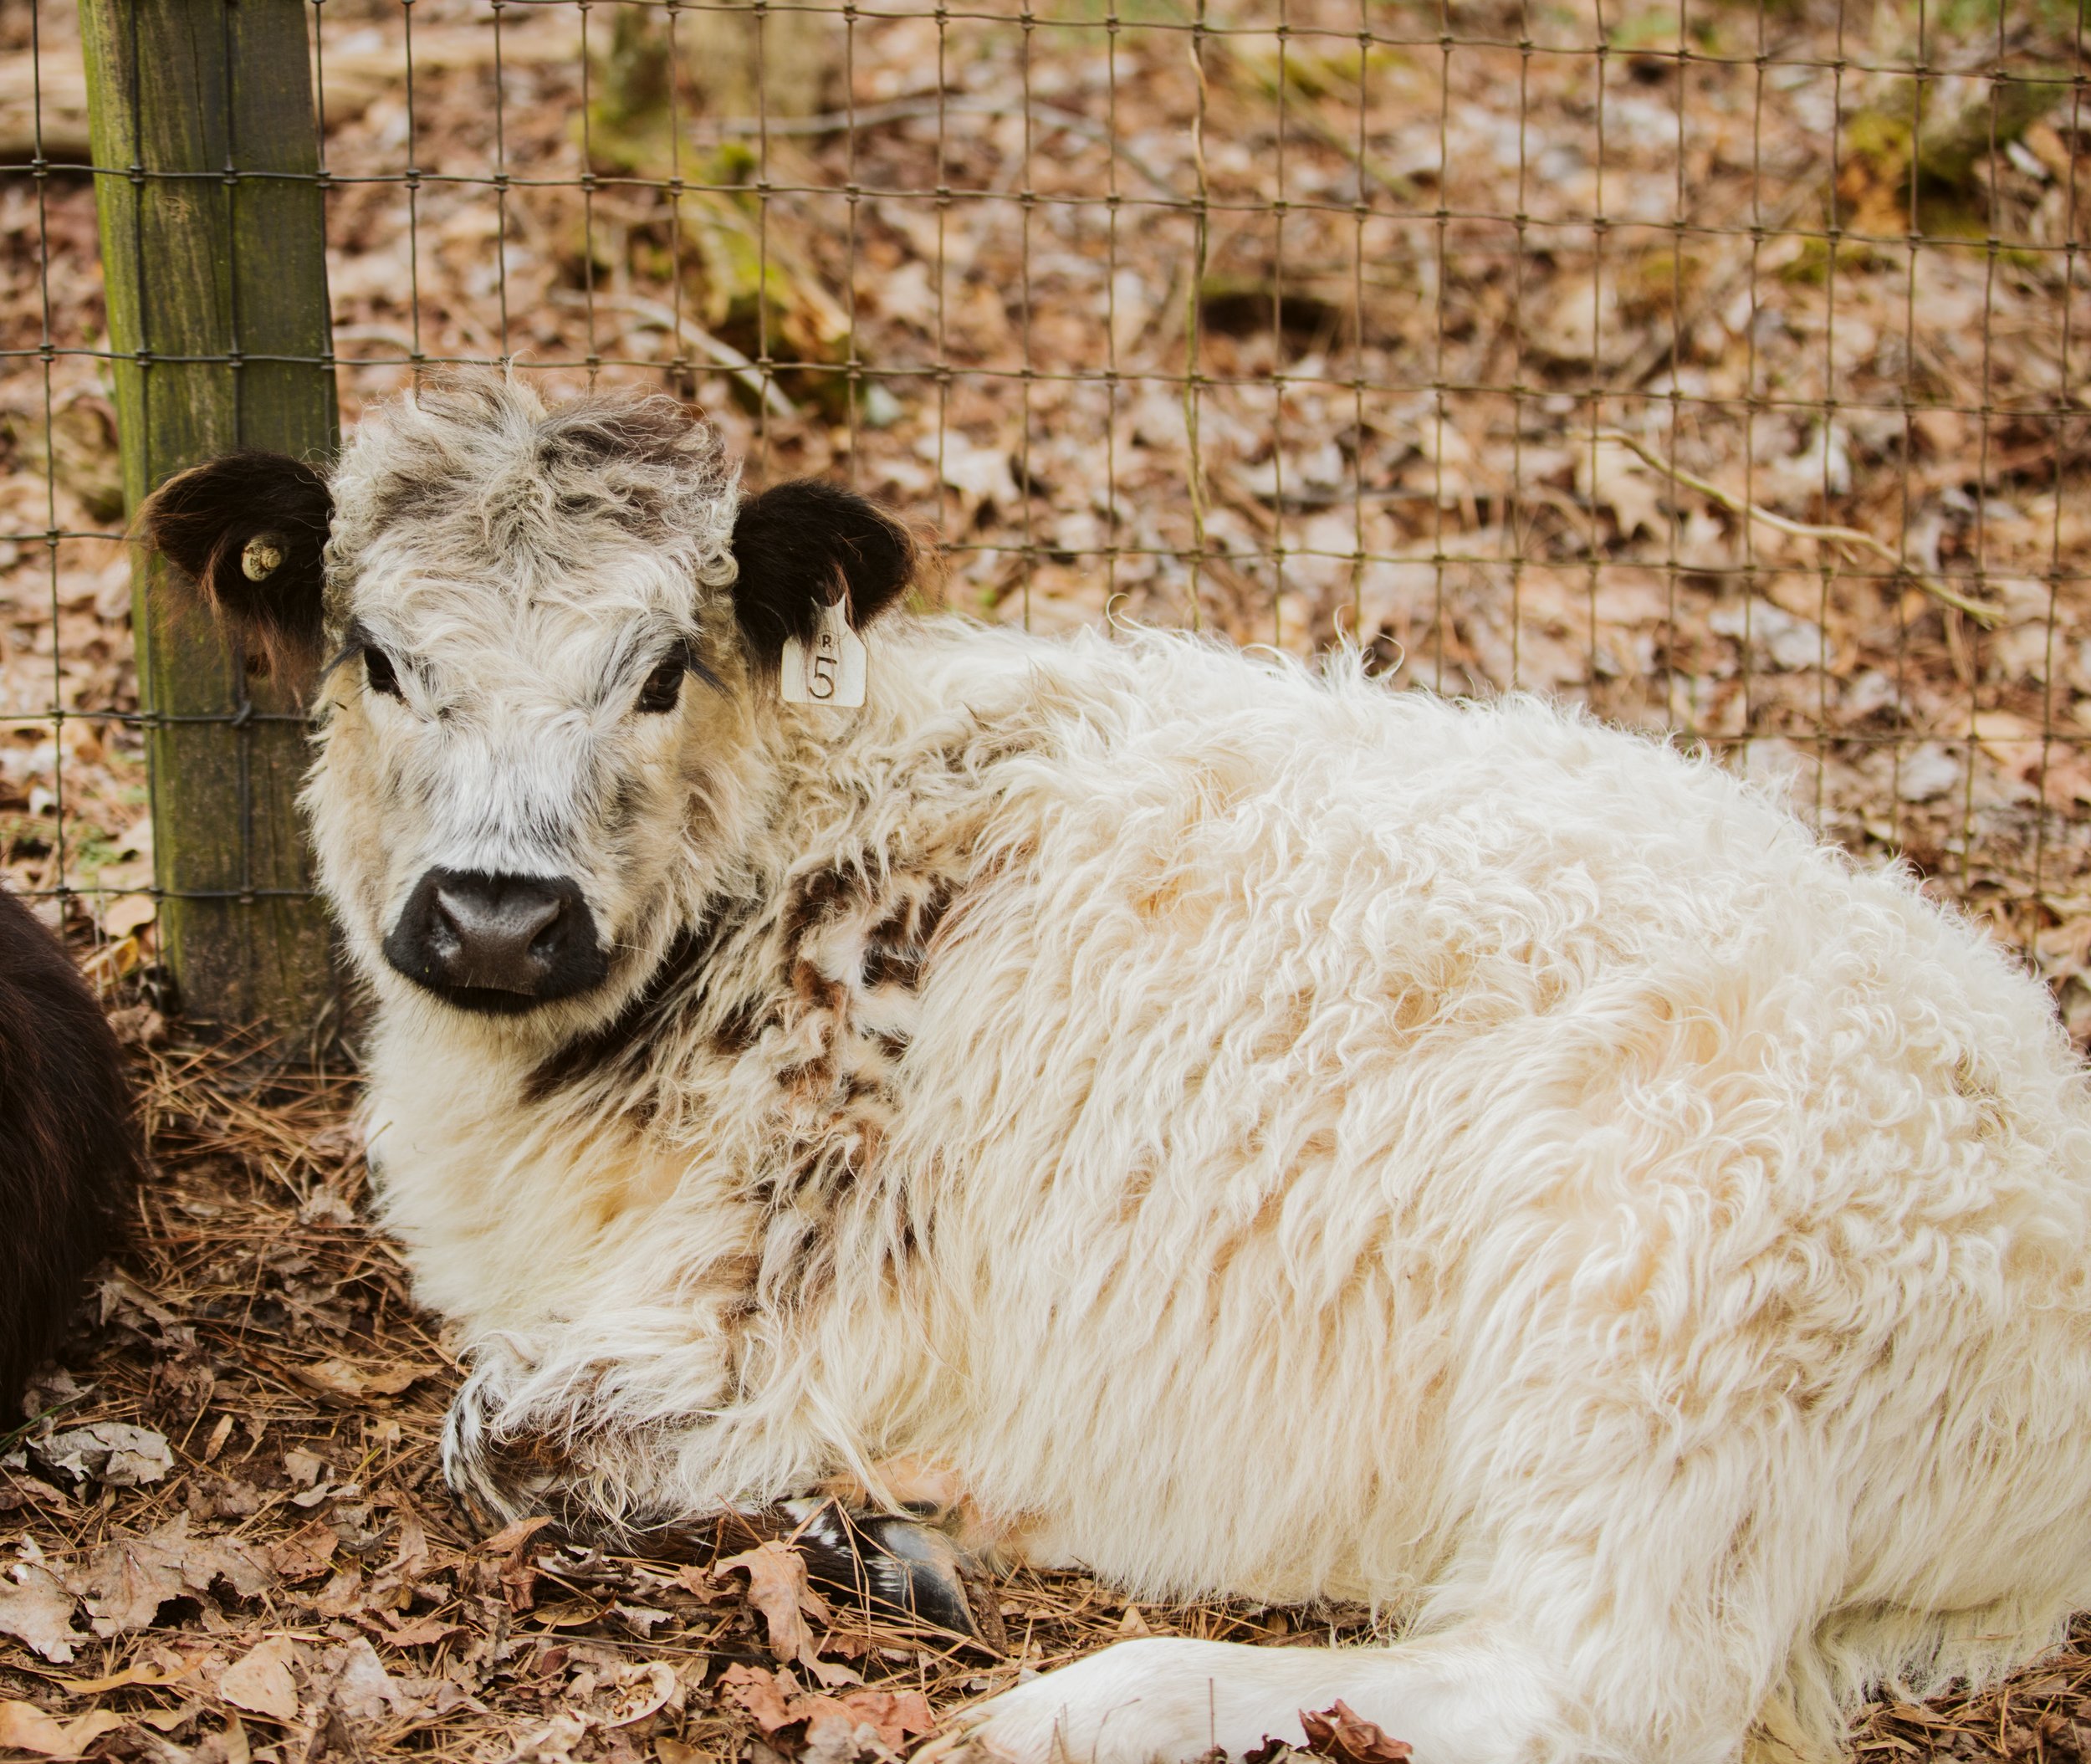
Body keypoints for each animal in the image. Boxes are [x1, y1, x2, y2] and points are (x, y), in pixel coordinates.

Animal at [142, 374, 2091, 1764]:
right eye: (378, 656)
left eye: (663, 668)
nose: (494, 912)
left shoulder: (774, 1304)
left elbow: (509, 1431)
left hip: (1666, 1350)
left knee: (1594, 1692)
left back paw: (1103, 1700)